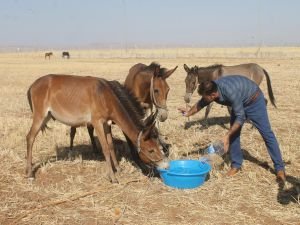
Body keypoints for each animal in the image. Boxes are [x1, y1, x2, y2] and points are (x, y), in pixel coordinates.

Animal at [26, 74, 168, 182]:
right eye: (150, 150)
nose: (165, 165)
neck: (105, 96)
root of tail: (33, 85)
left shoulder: (106, 124)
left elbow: (111, 145)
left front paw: (118, 168)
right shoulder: (97, 123)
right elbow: (105, 148)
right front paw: (112, 177)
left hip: (46, 116)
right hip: (39, 117)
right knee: (30, 138)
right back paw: (29, 173)